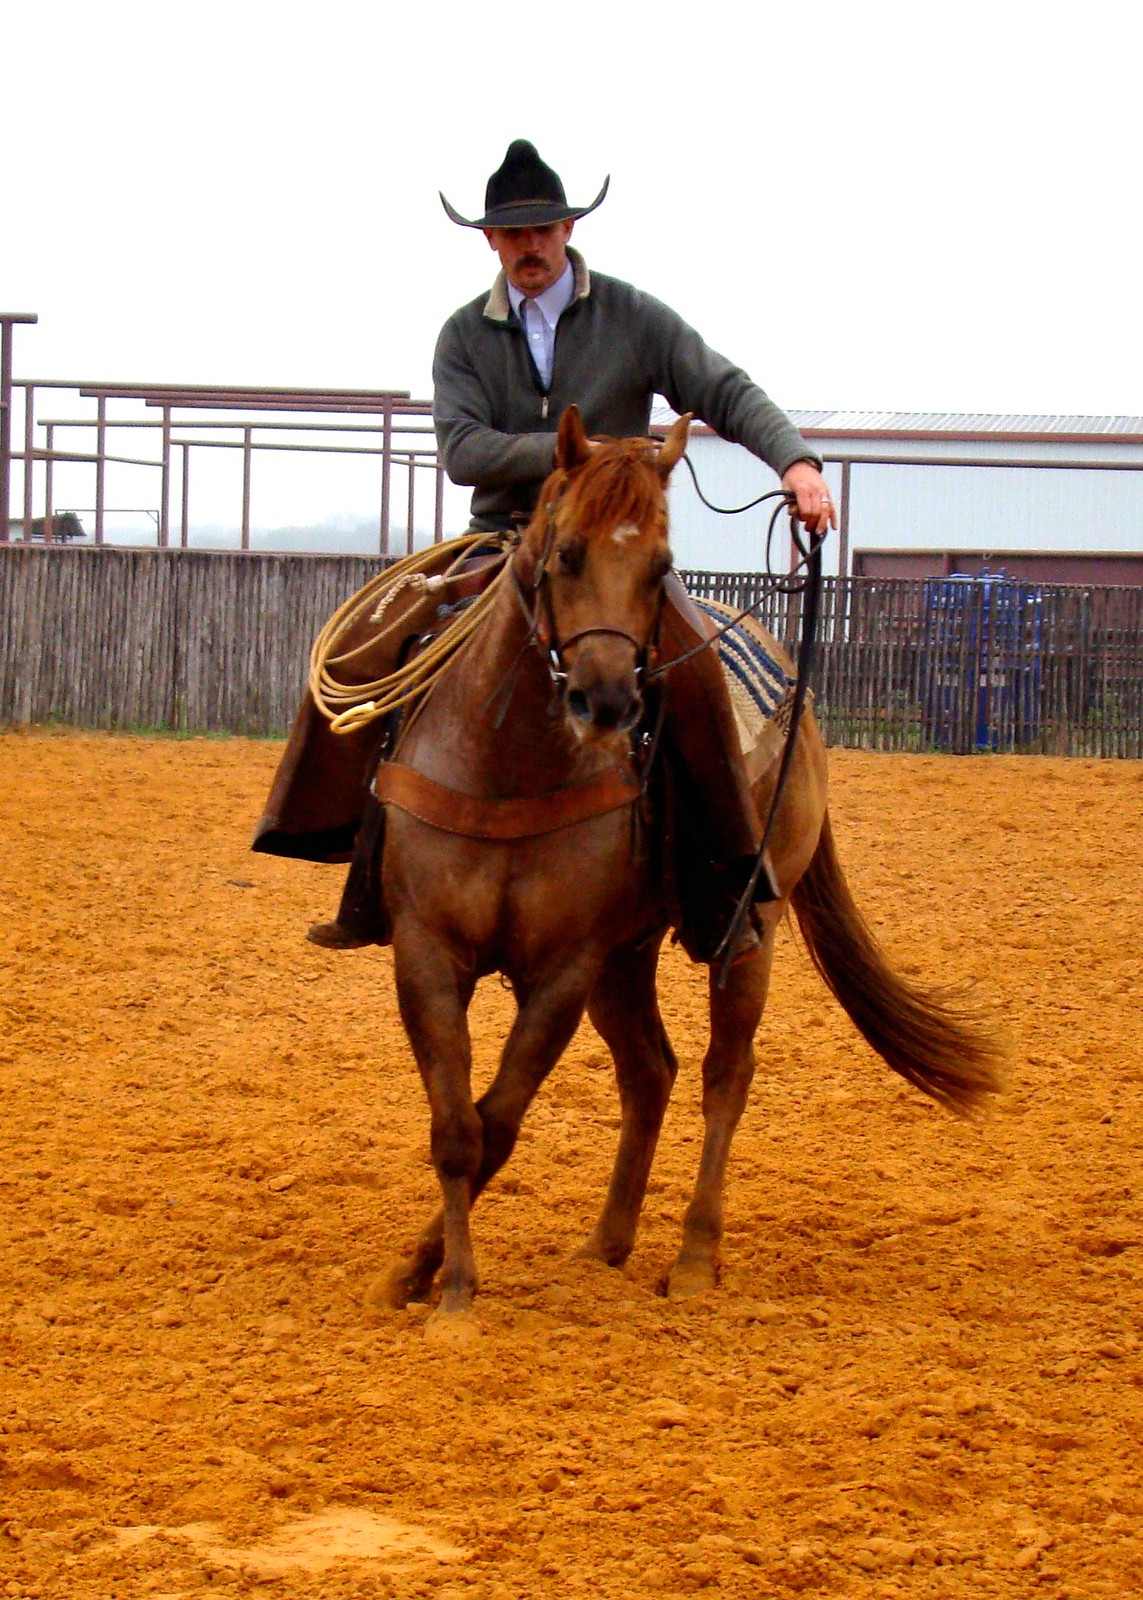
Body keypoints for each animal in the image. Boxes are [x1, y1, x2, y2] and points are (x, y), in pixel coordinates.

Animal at [369, 405, 1004, 1332]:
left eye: (659, 567)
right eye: (566, 553)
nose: (606, 702)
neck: (508, 765)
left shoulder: (561, 971)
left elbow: (499, 1120)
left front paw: (447, 1289)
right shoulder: (427, 953)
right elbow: (458, 1128)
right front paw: (427, 1284)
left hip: (745, 933)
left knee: (721, 1077)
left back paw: (695, 1258)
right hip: (624, 958)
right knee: (649, 1074)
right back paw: (603, 1247)